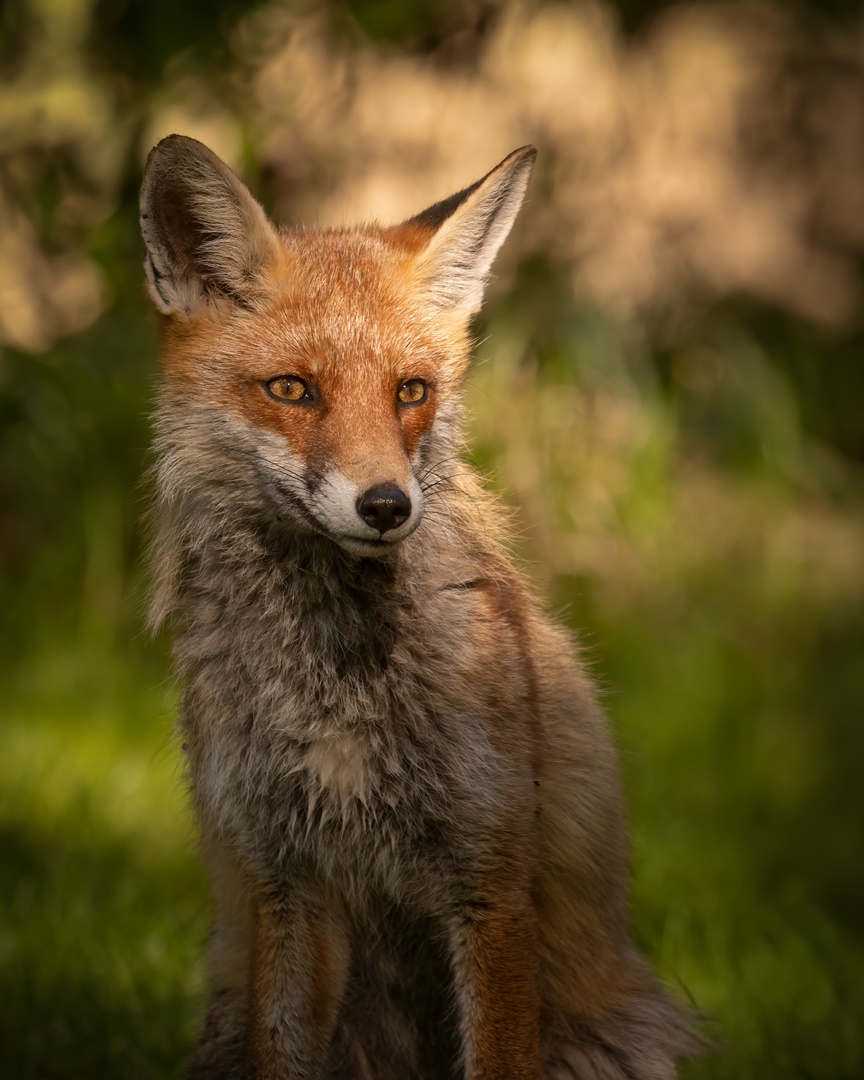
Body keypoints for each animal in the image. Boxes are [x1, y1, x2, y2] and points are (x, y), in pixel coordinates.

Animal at [140, 135, 695, 1080]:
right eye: (292, 390)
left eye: (411, 392)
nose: (386, 506)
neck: (336, 680)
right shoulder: (285, 880)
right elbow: (284, 1049)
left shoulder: (490, 875)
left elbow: (499, 1054)